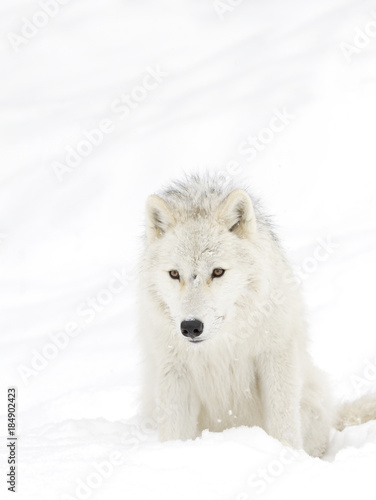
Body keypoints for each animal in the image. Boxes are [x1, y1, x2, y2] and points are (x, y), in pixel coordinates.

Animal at [139, 173, 376, 458]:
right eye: (174, 274)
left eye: (217, 272)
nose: (191, 326)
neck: (222, 344)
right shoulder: (174, 370)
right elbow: (174, 432)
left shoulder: (275, 356)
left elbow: (283, 422)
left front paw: (287, 456)